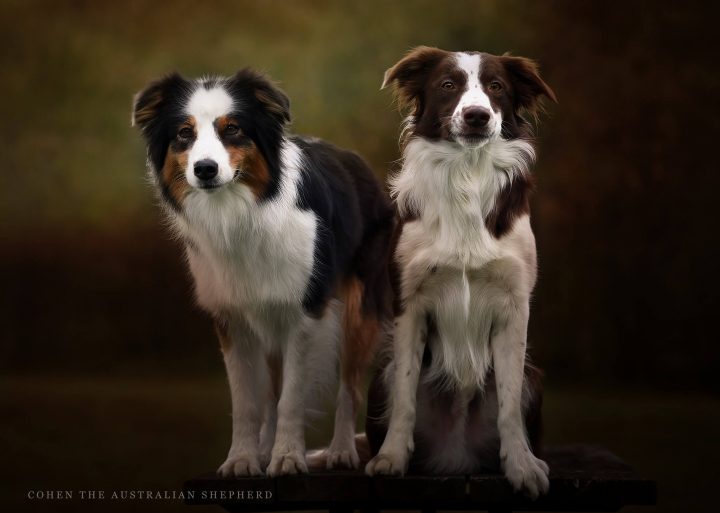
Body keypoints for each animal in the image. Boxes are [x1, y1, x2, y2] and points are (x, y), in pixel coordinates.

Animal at [366, 47, 556, 496]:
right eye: (448, 85)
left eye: (497, 86)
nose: (476, 116)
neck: (468, 173)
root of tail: (456, 454)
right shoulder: (410, 304)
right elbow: (404, 397)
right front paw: (391, 458)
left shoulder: (514, 307)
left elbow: (508, 404)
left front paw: (521, 465)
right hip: (378, 373)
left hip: (535, 376)